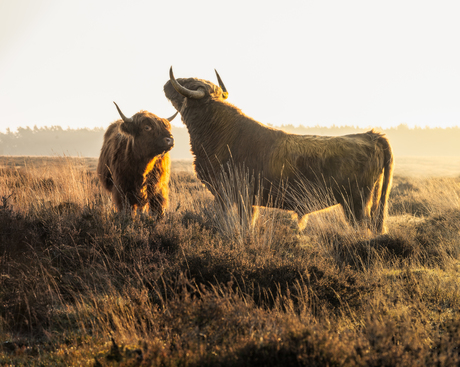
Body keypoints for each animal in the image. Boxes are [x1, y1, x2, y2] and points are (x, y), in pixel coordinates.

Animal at [164, 67, 394, 233]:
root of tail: (372, 135)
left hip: (357, 204)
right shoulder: (245, 199)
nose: (167, 83)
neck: (218, 130)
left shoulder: (231, 194)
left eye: (189, 83)